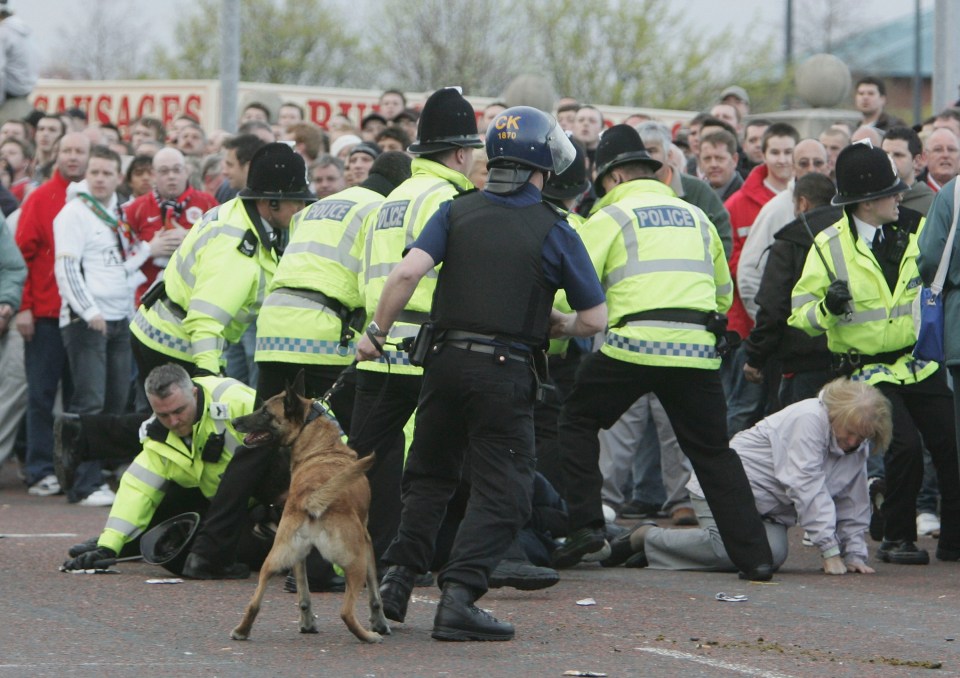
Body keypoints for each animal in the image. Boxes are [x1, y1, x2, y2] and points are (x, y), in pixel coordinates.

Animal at [227, 374, 388, 644]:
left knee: (255, 602)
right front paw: (380, 623)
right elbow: (375, 593)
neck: (322, 447)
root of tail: (311, 499)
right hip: (356, 562)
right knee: (346, 612)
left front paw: (307, 622)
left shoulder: (298, 558)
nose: (235, 421)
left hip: (275, 557)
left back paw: (242, 630)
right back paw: (369, 636)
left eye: (265, 411)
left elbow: (303, 593)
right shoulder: (368, 543)